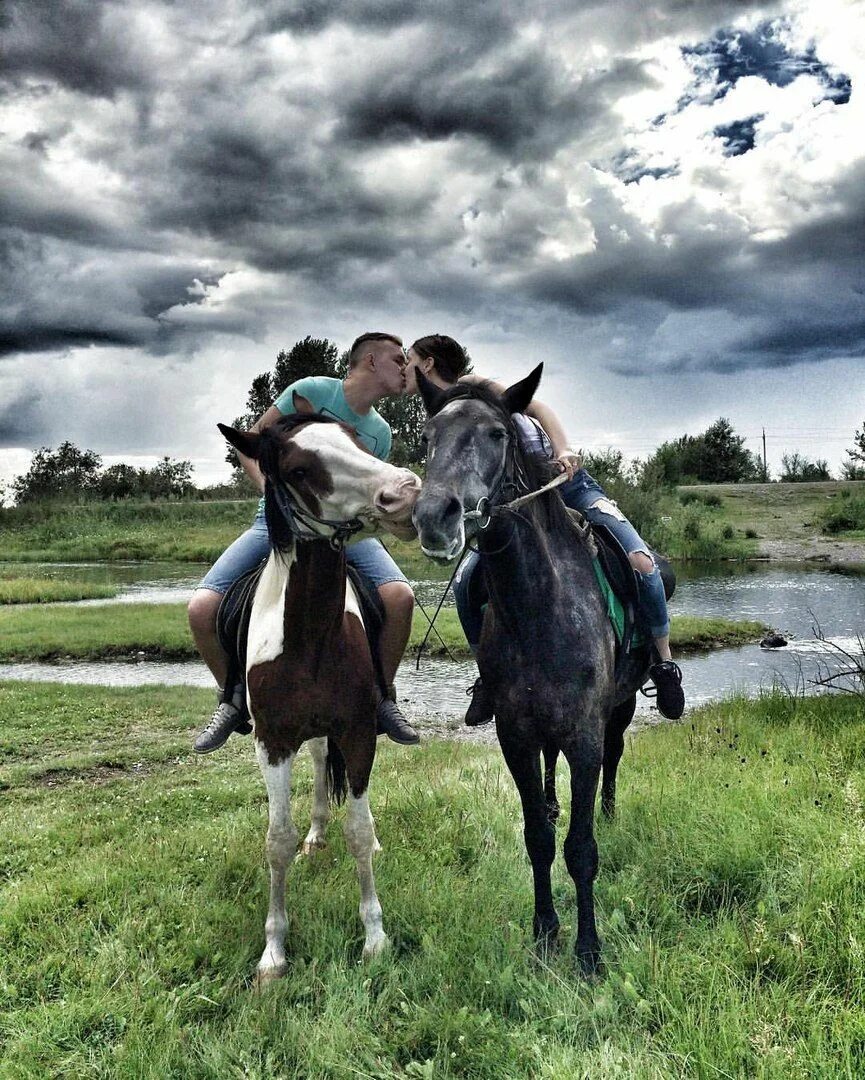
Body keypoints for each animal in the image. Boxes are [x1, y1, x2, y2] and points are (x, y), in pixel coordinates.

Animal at [218, 410, 416, 980]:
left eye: (358, 443)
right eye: (300, 470)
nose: (406, 491)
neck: (310, 634)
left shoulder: (358, 731)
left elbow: (359, 831)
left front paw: (374, 938)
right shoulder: (274, 742)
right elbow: (277, 843)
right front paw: (273, 952)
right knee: (318, 767)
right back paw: (315, 835)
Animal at [414, 367, 652, 976]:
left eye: (497, 433)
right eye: (428, 435)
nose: (434, 517)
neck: (540, 606)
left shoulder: (586, 735)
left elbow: (581, 848)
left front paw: (588, 952)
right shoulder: (516, 735)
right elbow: (539, 839)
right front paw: (545, 933)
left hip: (619, 710)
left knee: (616, 759)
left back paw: (611, 812)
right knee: (549, 783)